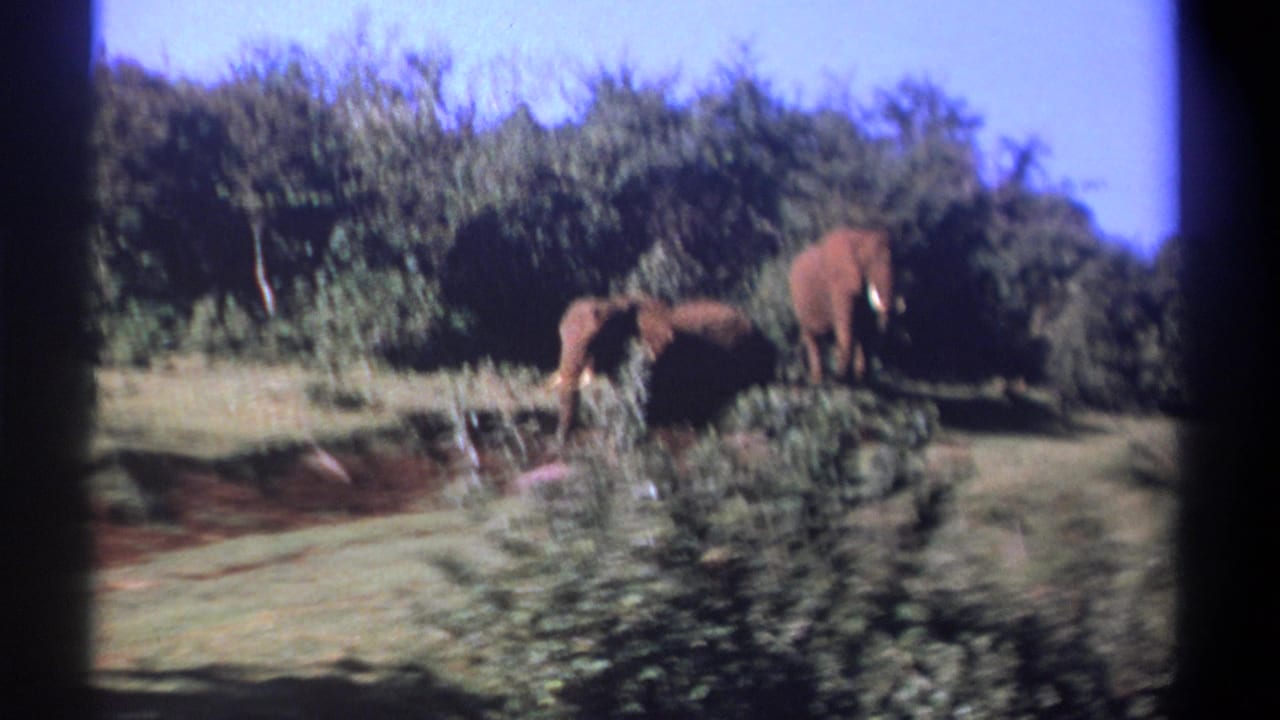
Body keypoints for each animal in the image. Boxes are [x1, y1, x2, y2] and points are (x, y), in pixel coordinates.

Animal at [789, 227, 898, 385]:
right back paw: (818, 379)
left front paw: (861, 379)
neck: (861, 237)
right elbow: (846, 327)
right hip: (799, 303)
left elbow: (866, 329)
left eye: (899, 263)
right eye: (869, 262)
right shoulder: (840, 283)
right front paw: (842, 378)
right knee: (812, 337)